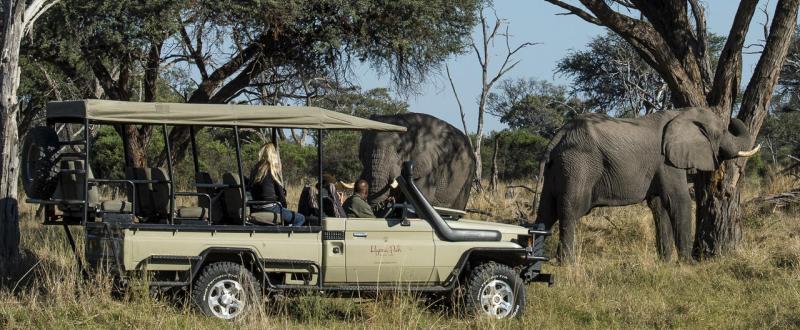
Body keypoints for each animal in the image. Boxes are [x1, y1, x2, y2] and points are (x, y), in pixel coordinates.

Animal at [536, 108, 760, 262]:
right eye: (722, 131)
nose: (732, 118)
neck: (681, 112)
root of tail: (557, 138)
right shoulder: (667, 161)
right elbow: (678, 201)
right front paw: (689, 263)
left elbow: (660, 205)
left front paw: (666, 263)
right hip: (578, 165)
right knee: (570, 211)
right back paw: (567, 263)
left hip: (558, 169)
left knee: (545, 214)